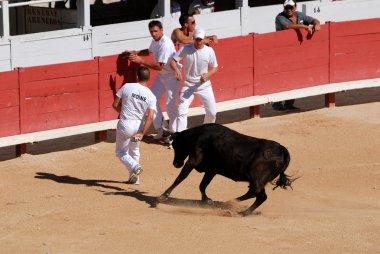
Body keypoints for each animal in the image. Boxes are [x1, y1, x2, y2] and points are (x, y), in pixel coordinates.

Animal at [157, 124, 294, 215]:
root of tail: (281, 149)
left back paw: (241, 212)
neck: (196, 136)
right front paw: (207, 201)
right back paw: (229, 203)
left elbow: (181, 178)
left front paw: (163, 196)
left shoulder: (192, 161)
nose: (175, 164)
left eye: (175, 145)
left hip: (257, 178)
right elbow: (202, 185)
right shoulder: (211, 170)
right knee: (252, 193)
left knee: (260, 196)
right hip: (256, 180)